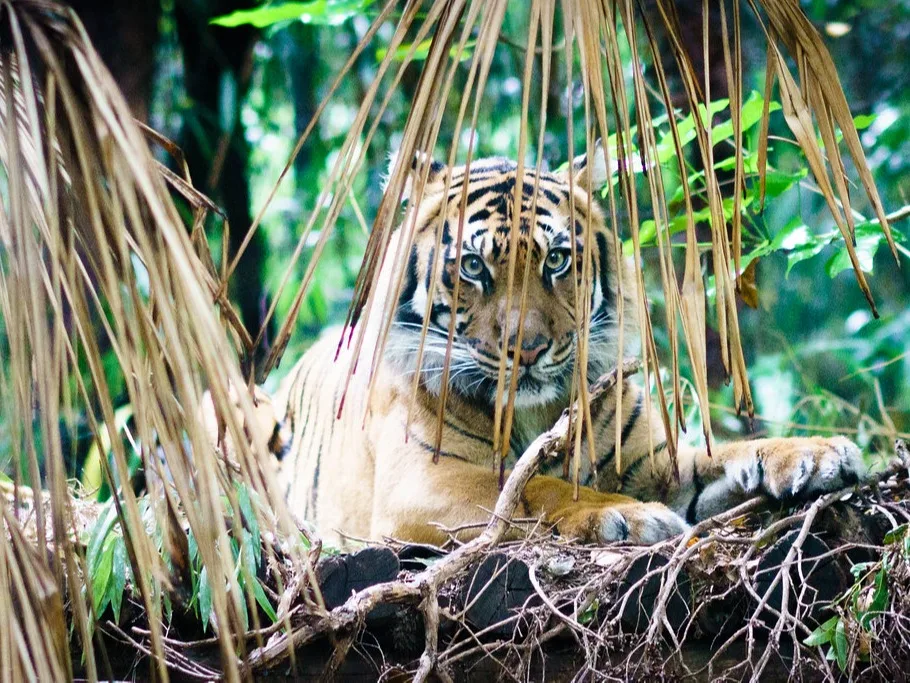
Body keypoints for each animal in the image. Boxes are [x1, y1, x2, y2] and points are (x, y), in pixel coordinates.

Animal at [208, 146, 868, 552]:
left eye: (556, 259)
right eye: (473, 266)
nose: (526, 349)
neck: (534, 411)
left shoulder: (651, 462)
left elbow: (720, 452)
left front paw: (814, 454)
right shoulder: (420, 483)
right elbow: (528, 491)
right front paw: (626, 515)